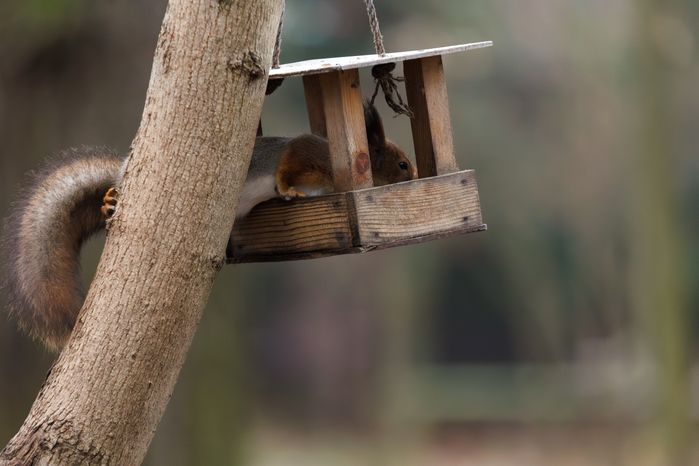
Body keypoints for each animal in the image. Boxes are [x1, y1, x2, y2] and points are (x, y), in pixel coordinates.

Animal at [1, 102, 416, 351]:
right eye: (401, 164)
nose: (414, 178)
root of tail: (127, 170)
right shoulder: (303, 151)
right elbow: (285, 168)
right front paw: (288, 190)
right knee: (112, 194)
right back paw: (110, 201)